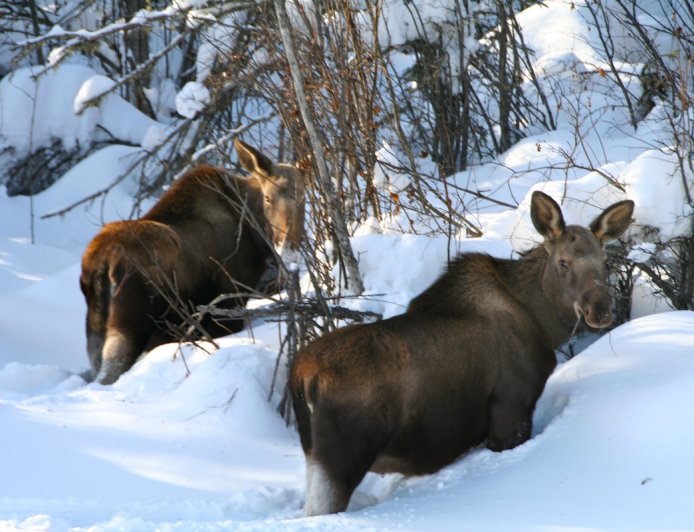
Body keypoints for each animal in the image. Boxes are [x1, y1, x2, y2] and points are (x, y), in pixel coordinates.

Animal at [80, 140, 305, 385]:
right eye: (268, 198)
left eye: (303, 196)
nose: (289, 248)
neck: (252, 233)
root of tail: (101, 266)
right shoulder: (230, 303)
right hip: (129, 327)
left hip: (95, 334)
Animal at [289, 191, 633, 515]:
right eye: (563, 262)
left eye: (603, 260)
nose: (600, 310)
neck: (543, 322)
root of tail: (300, 377)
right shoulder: (511, 408)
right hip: (343, 457)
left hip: (315, 456)